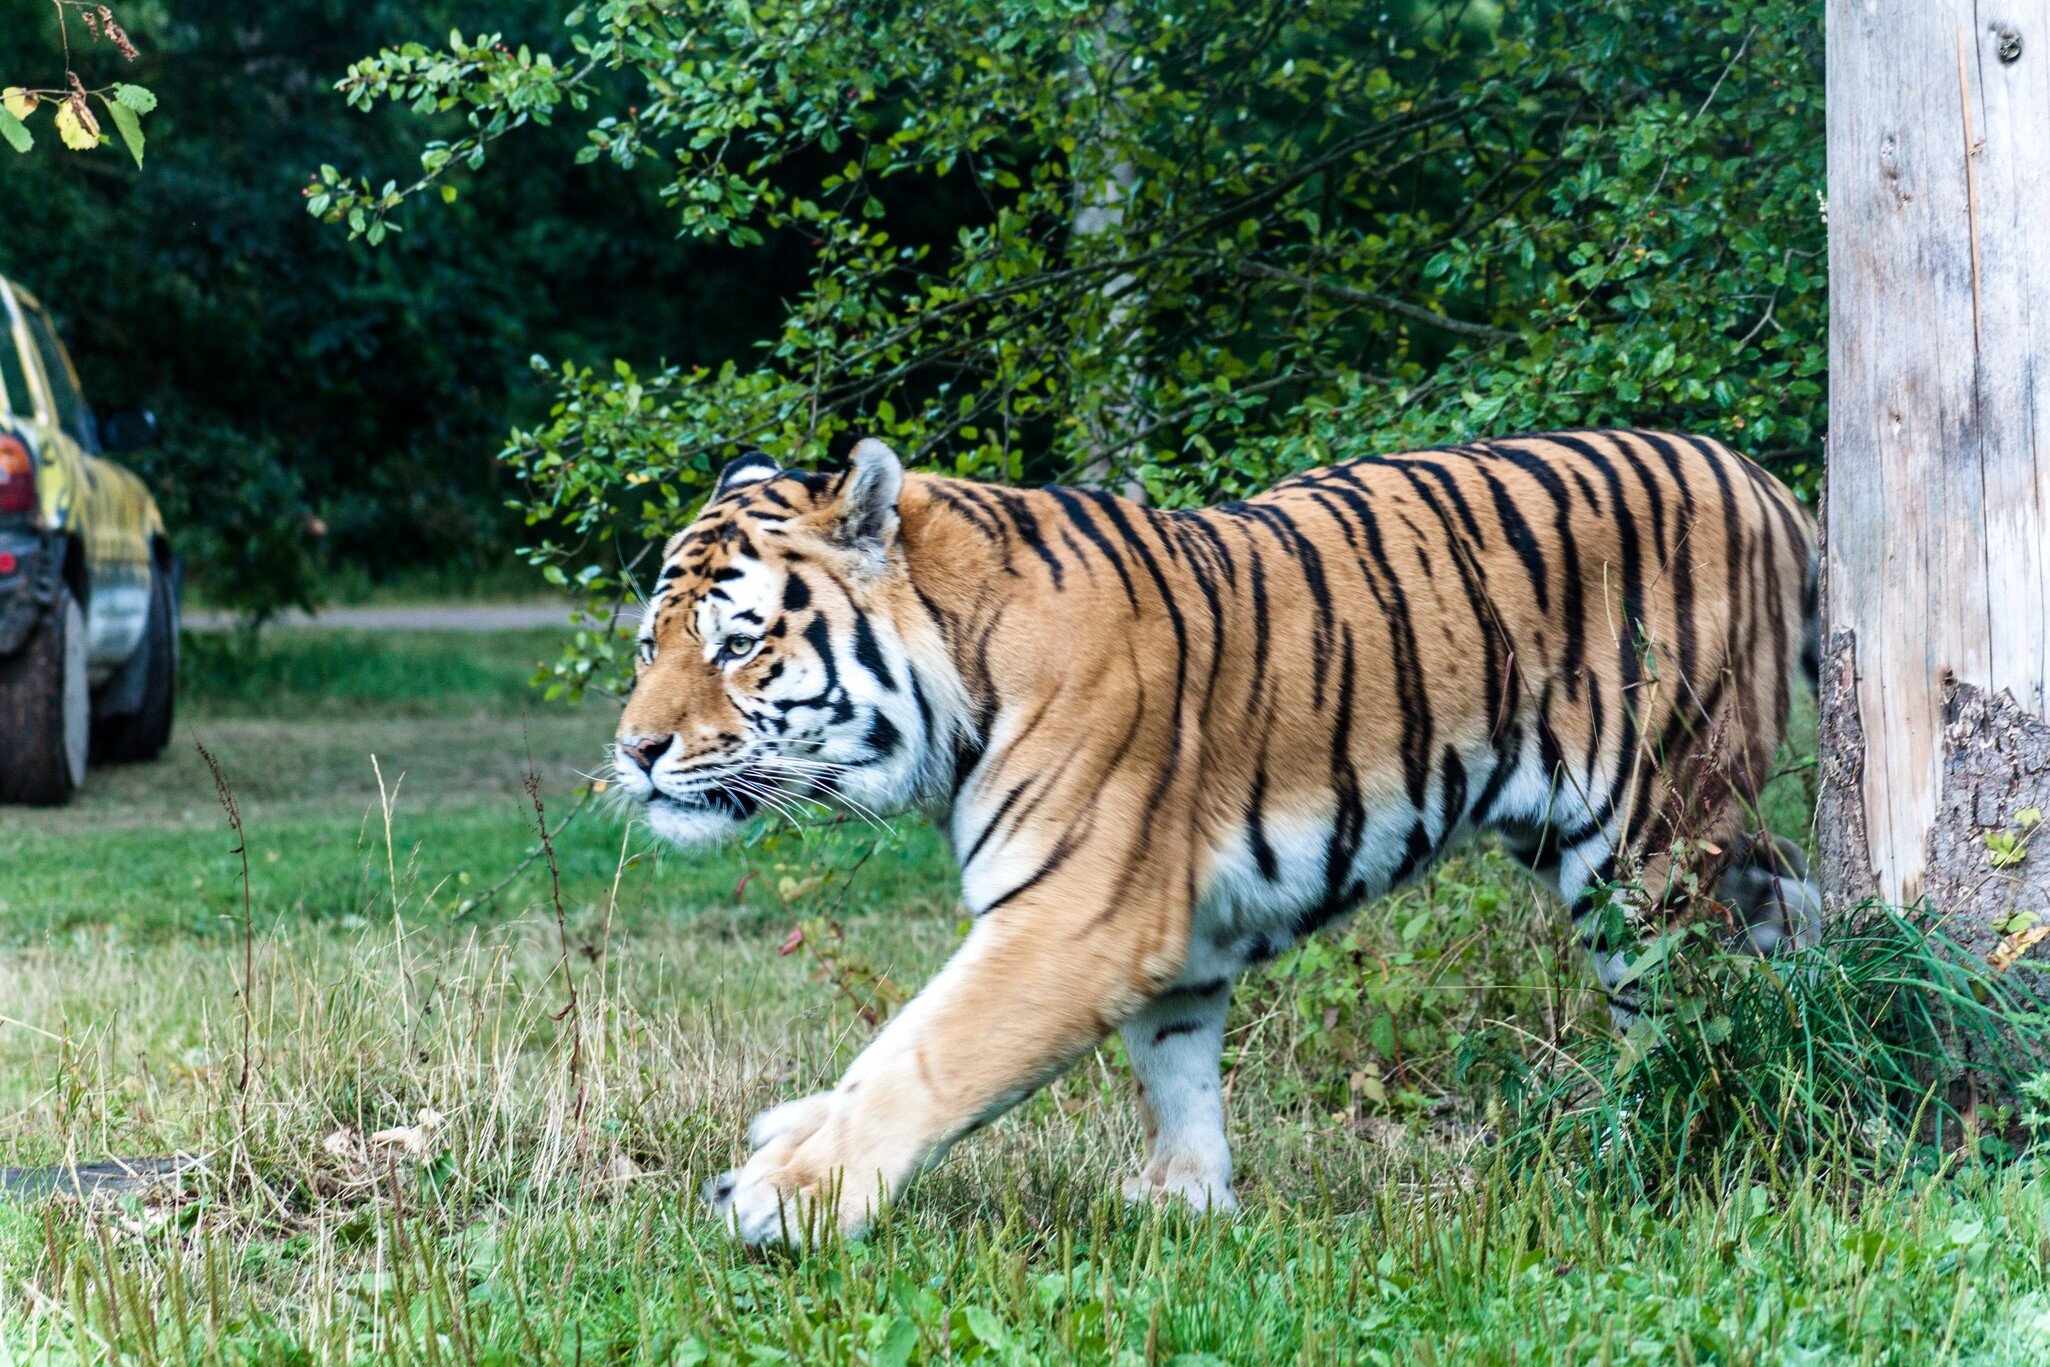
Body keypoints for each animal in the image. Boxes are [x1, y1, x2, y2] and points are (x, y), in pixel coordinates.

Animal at [612, 429, 1820, 1245]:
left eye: (737, 644)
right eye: (647, 643)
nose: (635, 750)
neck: (961, 659)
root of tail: (1757, 477)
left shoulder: (1072, 914)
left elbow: (924, 1054)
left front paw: (789, 1194)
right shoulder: (1164, 926)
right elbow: (1176, 1061)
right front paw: (1184, 1196)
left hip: (1643, 832)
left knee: (1680, 1003)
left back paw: (1638, 1138)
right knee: (1782, 903)